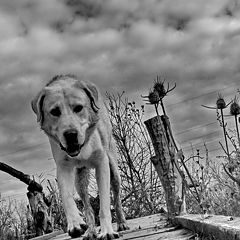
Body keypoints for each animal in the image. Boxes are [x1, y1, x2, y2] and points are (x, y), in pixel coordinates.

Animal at [32, 74, 129, 239]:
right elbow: (66, 197)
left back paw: (122, 223)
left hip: (114, 171)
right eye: (55, 111)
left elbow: (104, 203)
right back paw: (90, 231)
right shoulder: (63, 167)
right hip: (80, 181)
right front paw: (75, 223)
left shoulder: (101, 164)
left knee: (116, 197)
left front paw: (107, 231)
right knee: (87, 206)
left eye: (78, 108)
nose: (71, 135)